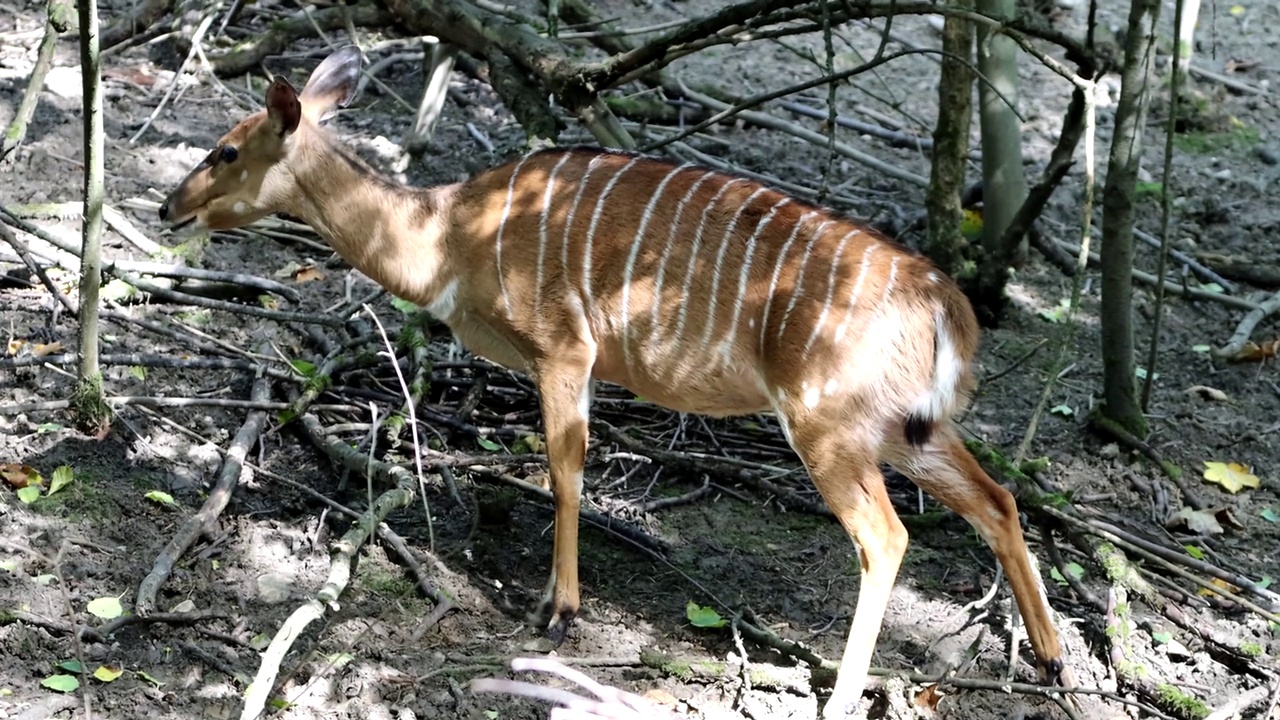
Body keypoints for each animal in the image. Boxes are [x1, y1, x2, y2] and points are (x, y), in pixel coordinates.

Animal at [154, 47, 1064, 712]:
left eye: (226, 149)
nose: (169, 207)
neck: (448, 235)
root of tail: (943, 297)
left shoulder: (564, 347)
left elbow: (564, 468)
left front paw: (561, 613)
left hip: (827, 423)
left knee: (887, 535)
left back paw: (843, 697)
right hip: (907, 427)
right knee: (996, 498)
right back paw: (1053, 661)